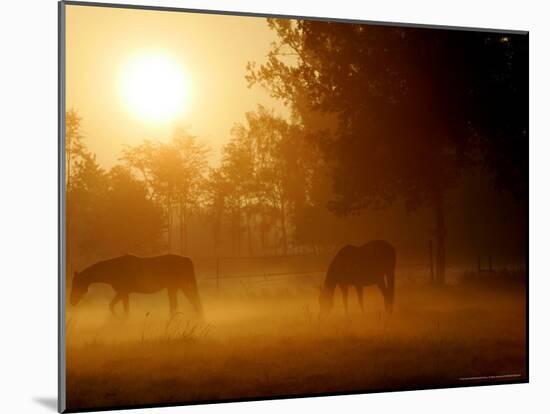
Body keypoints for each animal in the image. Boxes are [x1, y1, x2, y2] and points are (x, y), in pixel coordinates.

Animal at [70, 252, 205, 316]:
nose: (72, 302)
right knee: (185, 302)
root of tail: (186, 259)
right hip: (176, 287)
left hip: (178, 287)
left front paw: (118, 319)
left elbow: (115, 307)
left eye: (76, 284)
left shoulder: (123, 292)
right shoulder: (124, 293)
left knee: (188, 302)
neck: (114, 269)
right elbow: (120, 308)